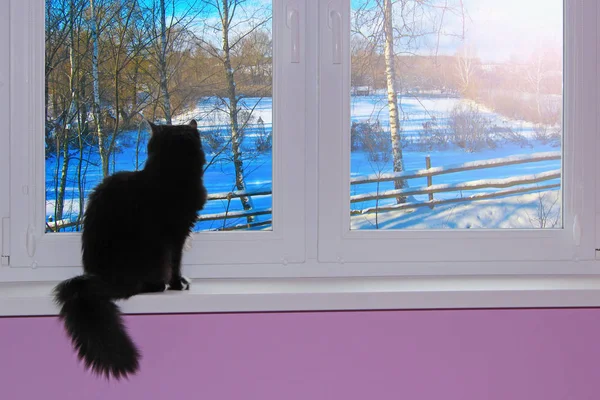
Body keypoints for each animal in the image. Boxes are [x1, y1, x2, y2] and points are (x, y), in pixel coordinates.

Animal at [54, 119, 209, 378]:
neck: (170, 174)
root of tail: (93, 283)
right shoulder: (176, 235)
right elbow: (176, 263)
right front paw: (178, 284)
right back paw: (158, 285)